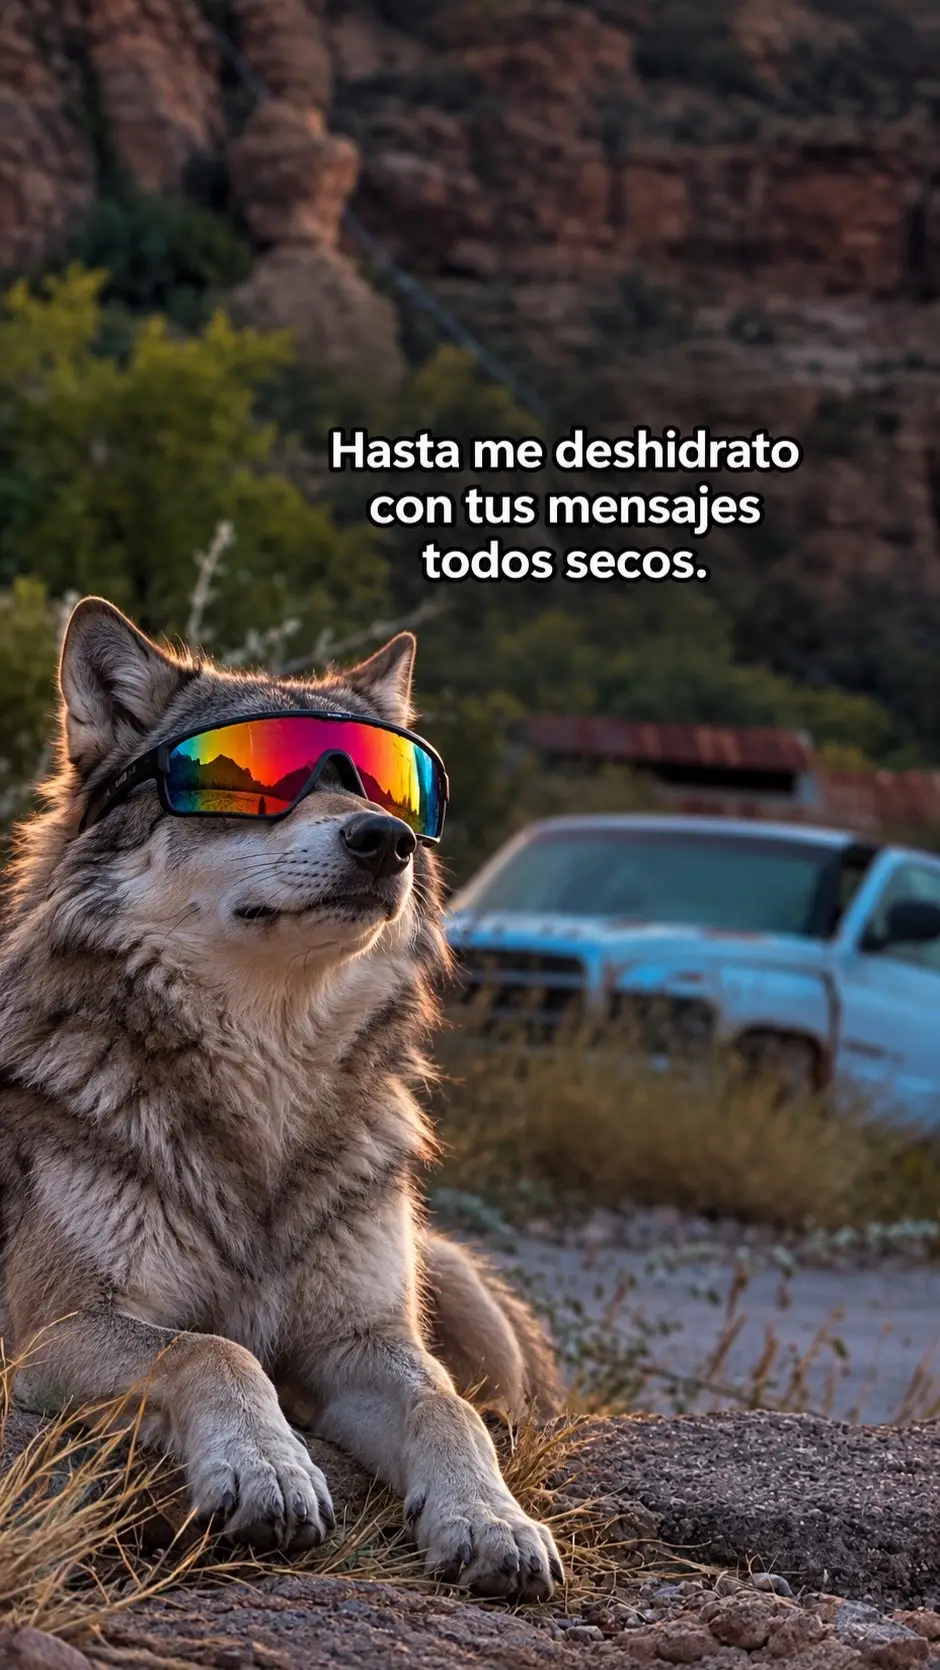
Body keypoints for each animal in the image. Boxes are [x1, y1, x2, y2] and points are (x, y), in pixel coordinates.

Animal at [0, 598, 563, 1601]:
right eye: (255, 781)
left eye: (391, 790)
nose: (385, 841)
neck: (267, 1075)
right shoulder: (53, 1330)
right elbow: (211, 1349)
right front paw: (267, 1468)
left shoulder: (361, 1343)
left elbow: (444, 1409)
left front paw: (492, 1520)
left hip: (449, 1277)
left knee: (491, 1400)